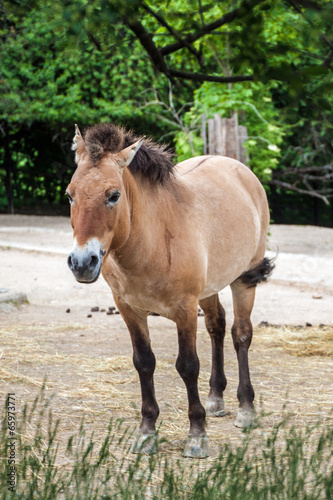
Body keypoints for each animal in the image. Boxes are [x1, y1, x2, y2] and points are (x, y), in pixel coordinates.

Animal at [65, 122, 272, 458]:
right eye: (70, 195)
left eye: (113, 195)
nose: (82, 262)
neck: (152, 239)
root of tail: (239, 169)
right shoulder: (129, 309)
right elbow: (144, 362)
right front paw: (147, 432)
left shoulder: (184, 309)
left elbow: (187, 366)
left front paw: (197, 436)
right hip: (209, 290)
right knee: (216, 326)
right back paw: (216, 398)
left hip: (244, 279)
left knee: (241, 334)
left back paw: (246, 409)